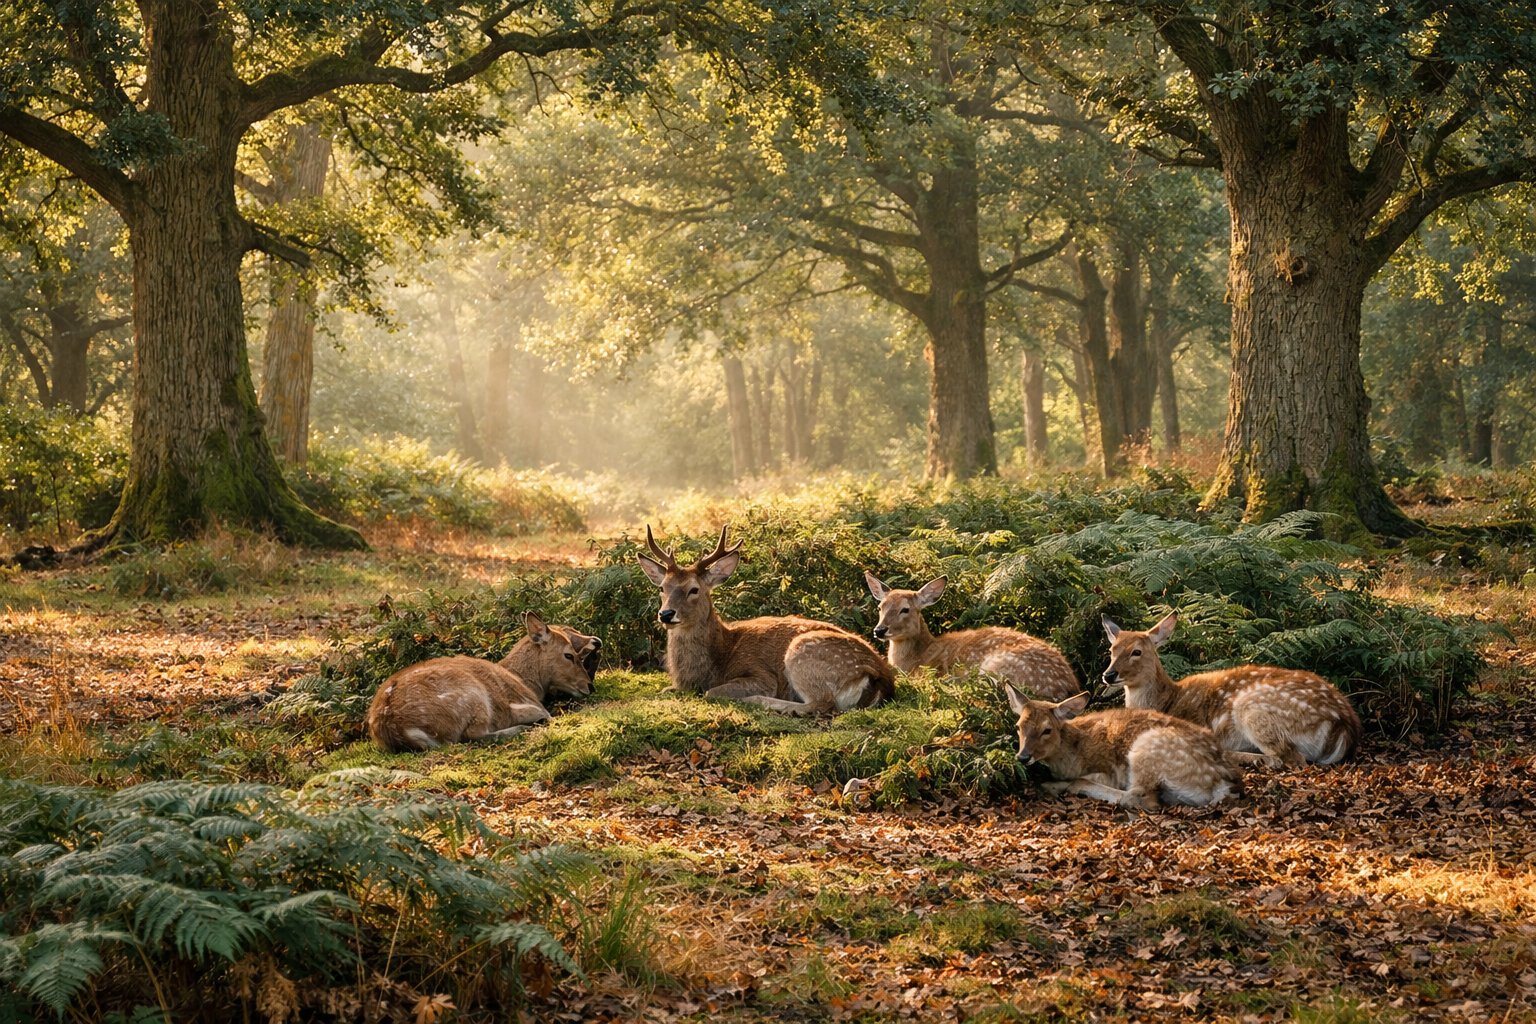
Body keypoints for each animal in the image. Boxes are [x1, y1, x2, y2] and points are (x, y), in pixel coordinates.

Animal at [367, 612, 596, 752]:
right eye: (569, 655)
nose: (589, 686)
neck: (525, 680)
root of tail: (397, 728)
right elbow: (543, 712)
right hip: (473, 696)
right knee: (473, 734)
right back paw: (521, 728)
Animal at [638, 525, 895, 715]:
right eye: (662, 588)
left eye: (694, 589)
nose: (666, 614)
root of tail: (880, 678)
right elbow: (665, 690)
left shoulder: (762, 676)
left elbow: (712, 692)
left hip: (804, 652)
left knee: (821, 703)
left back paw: (758, 701)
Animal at [864, 572, 1079, 699]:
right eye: (880, 607)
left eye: (905, 609)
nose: (879, 630)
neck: (919, 658)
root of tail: (1066, 688)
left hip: (999, 667)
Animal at [1006, 688, 1242, 809]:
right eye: (1018, 726)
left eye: (1047, 730)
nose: (1023, 756)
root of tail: (1220, 782)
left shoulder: (1106, 771)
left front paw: (1056, 785)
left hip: (1147, 750)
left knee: (1139, 797)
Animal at [1099, 612, 1362, 768]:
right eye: (1112, 650)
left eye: (1137, 651)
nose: (1108, 675)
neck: (1167, 700)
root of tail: (1344, 726)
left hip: (1254, 709)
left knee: (1289, 759)